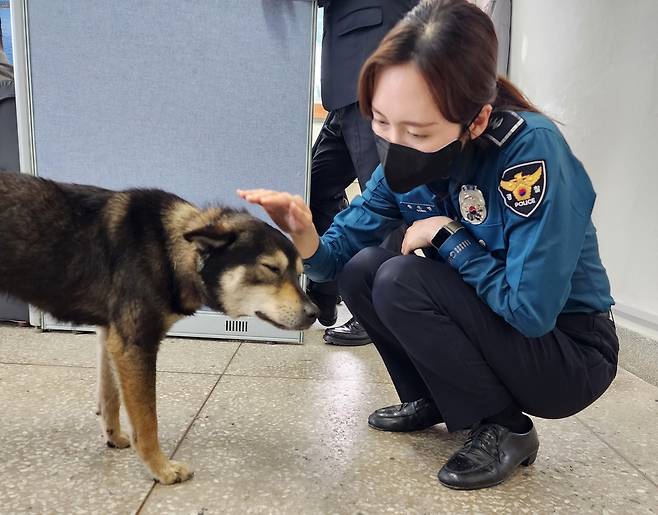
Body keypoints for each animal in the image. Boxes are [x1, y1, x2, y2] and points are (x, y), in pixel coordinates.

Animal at [0, 172, 318, 484]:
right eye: (271, 269)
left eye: (299, 273)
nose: (315, 313)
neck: (169, 250)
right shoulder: (135, 343)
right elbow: (146, 420)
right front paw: (161, 468)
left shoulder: (112, 336)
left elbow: (110, 396)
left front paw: (114, 436)